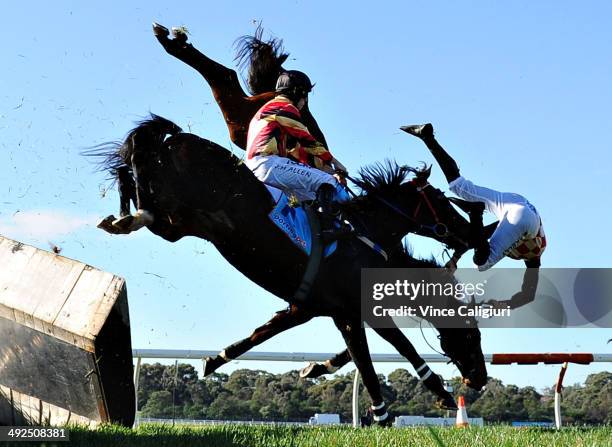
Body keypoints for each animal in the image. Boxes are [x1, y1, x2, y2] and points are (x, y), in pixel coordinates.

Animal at [93, 114, 490, 422]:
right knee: (141, 159)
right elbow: (389, 349)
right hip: (181, 201)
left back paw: (124, 209)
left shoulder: (307, 306)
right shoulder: (351, 309)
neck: (365, 233)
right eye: (472, 334)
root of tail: (179, 139)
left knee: (144, 177)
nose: (479, 379)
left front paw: (215, 360)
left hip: (182, 221)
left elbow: (263, 333)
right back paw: (129, 213)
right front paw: (399, 408)